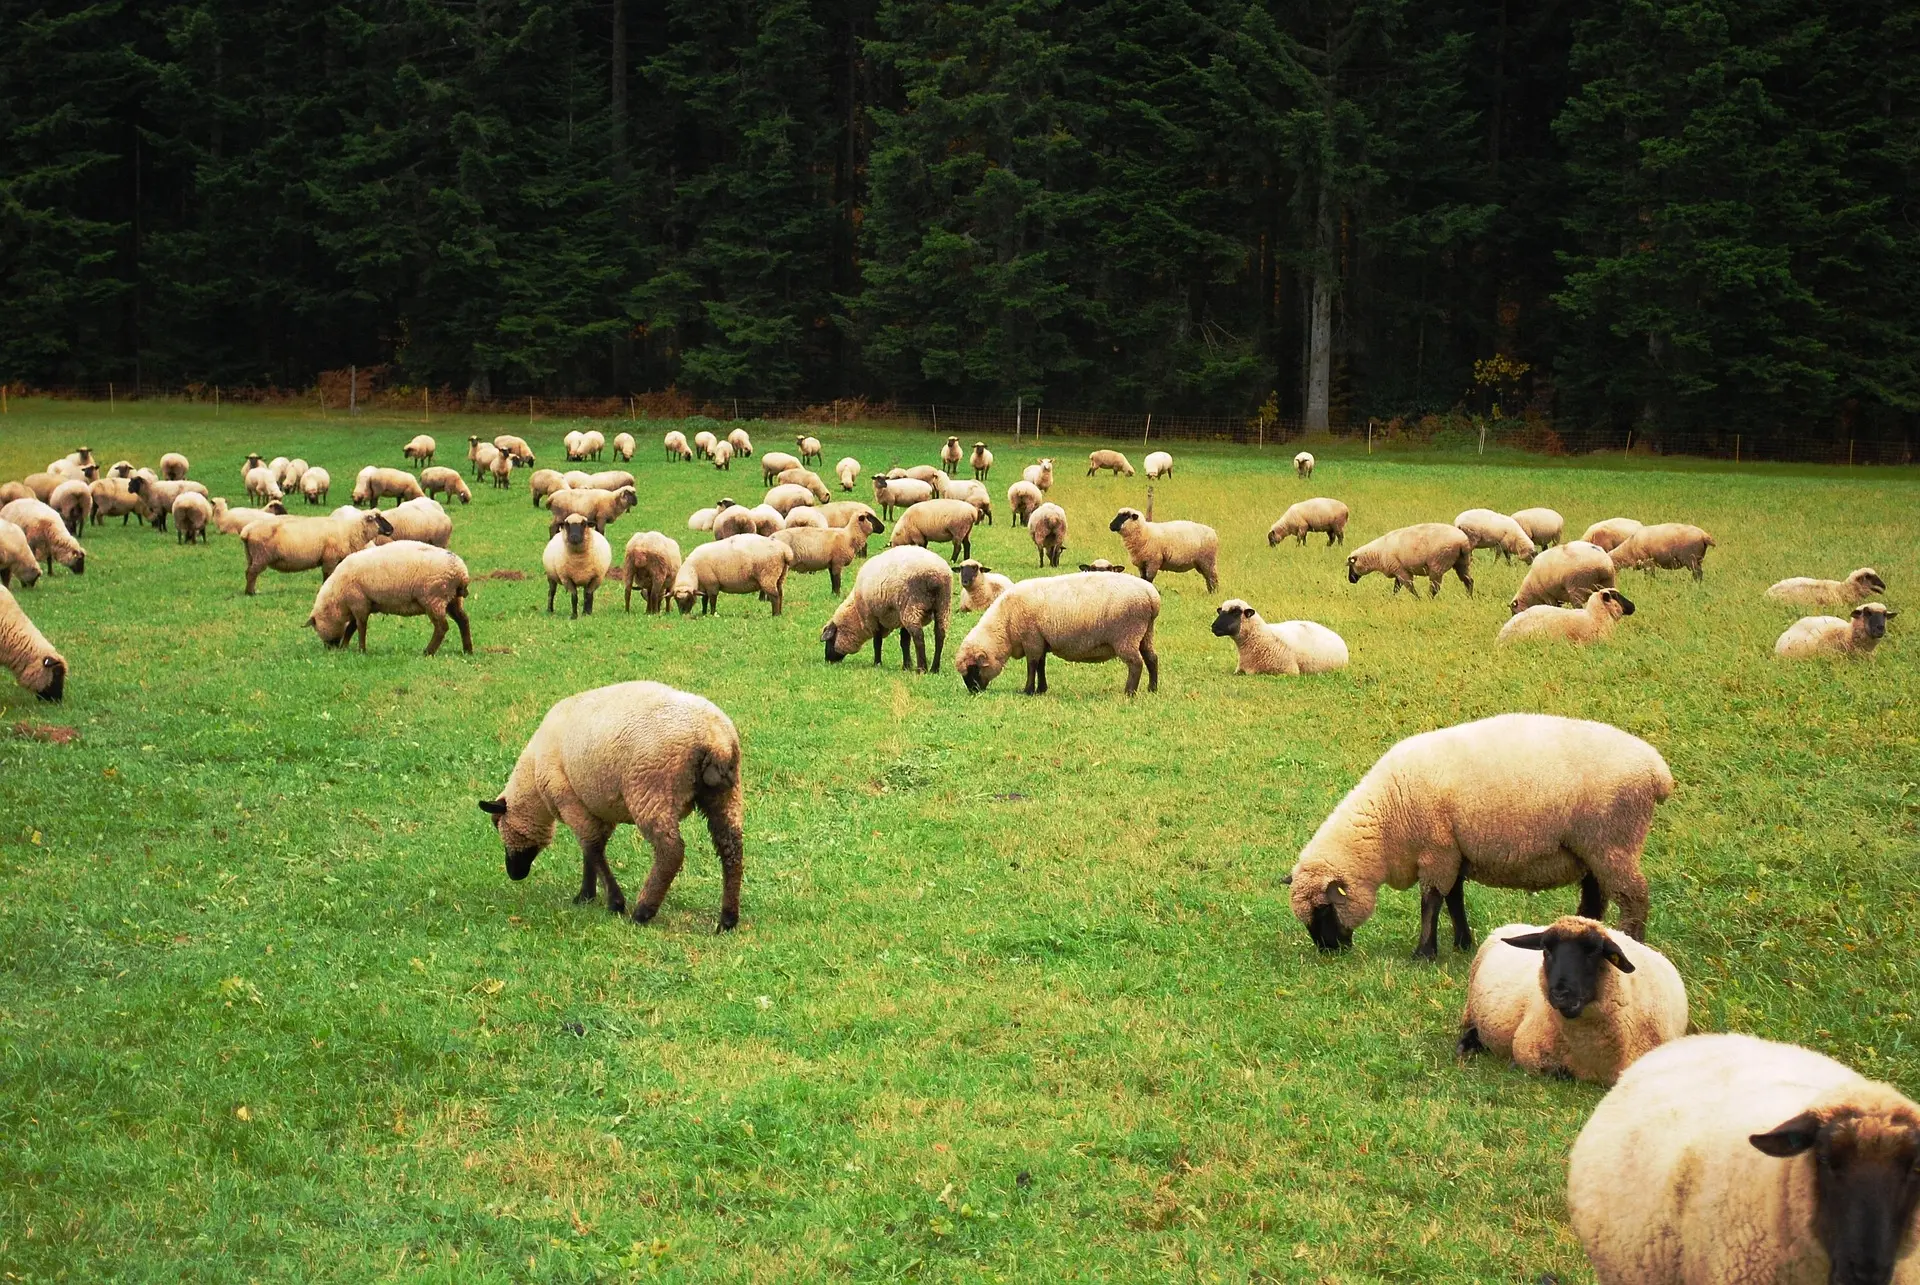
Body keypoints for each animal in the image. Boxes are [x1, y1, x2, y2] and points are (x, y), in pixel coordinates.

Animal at [478, 680, 744, 930]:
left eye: (497, 826)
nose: (514, 874)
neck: (533, 781)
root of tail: (715, 740)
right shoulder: (595, 808)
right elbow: (590, 851)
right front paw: (586, 895)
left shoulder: (570, 801)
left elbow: (592, 848)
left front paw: (613, 902)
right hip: (724, 794)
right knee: (731, 849)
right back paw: (727, 920)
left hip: (651, 790)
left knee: (671, 852)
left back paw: (642, 912)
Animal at [820, 545, 953, 672]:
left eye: (830, 640)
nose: (828, 661)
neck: (856, 613)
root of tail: (935, 575)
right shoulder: (899, 616)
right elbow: (904, 641)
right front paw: (906, 666)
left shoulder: (872, 617)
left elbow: (877, 642)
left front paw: (877, 664)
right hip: (943, 605)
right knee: (940, 634)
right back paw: (934, 669)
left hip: (911, 604)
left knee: (918, 636)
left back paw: (922, 669)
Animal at [957, 572, 1161, 696]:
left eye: (973, 668)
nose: (974, 692)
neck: (1005, 627)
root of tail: (1151, 596)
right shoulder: (1040, 640)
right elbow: (1041, 665)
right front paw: (1041, 689)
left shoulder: (1031, 639)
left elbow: (1032, 665)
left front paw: (1028, 690)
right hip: (1145, 634)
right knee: (1152, 658)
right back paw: (1152, 689)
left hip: (1127, 634)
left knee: (1136, 663)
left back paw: (1129, 692)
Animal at [1284, 713, 1671, 958]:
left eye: (1324, 909)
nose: (1329, 952)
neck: (1386, 820)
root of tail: (1658, 771)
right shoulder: (1454, 852)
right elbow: (1454, 900)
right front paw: (1462, 943)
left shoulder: (1437, 850)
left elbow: (1431, 902)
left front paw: (1424, 952)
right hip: (1593, 850)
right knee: (1595, 899)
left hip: (1613, 841)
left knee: (1635, 898)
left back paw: (1634, 944)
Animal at [1345, 523, 1474, 598]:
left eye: (1351, 565)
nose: (1350, 580)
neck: (1376, 554)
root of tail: (1462, 541)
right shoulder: (1398, 570)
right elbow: (1396, 588)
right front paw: (1392, 599)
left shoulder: (1400, 570)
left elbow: (1409, 587)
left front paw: (1417, 599)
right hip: (1462, 562)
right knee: (1468, 581)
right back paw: (1469, 597)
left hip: (1438, 564)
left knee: (1435, 588)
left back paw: (1428, 599)